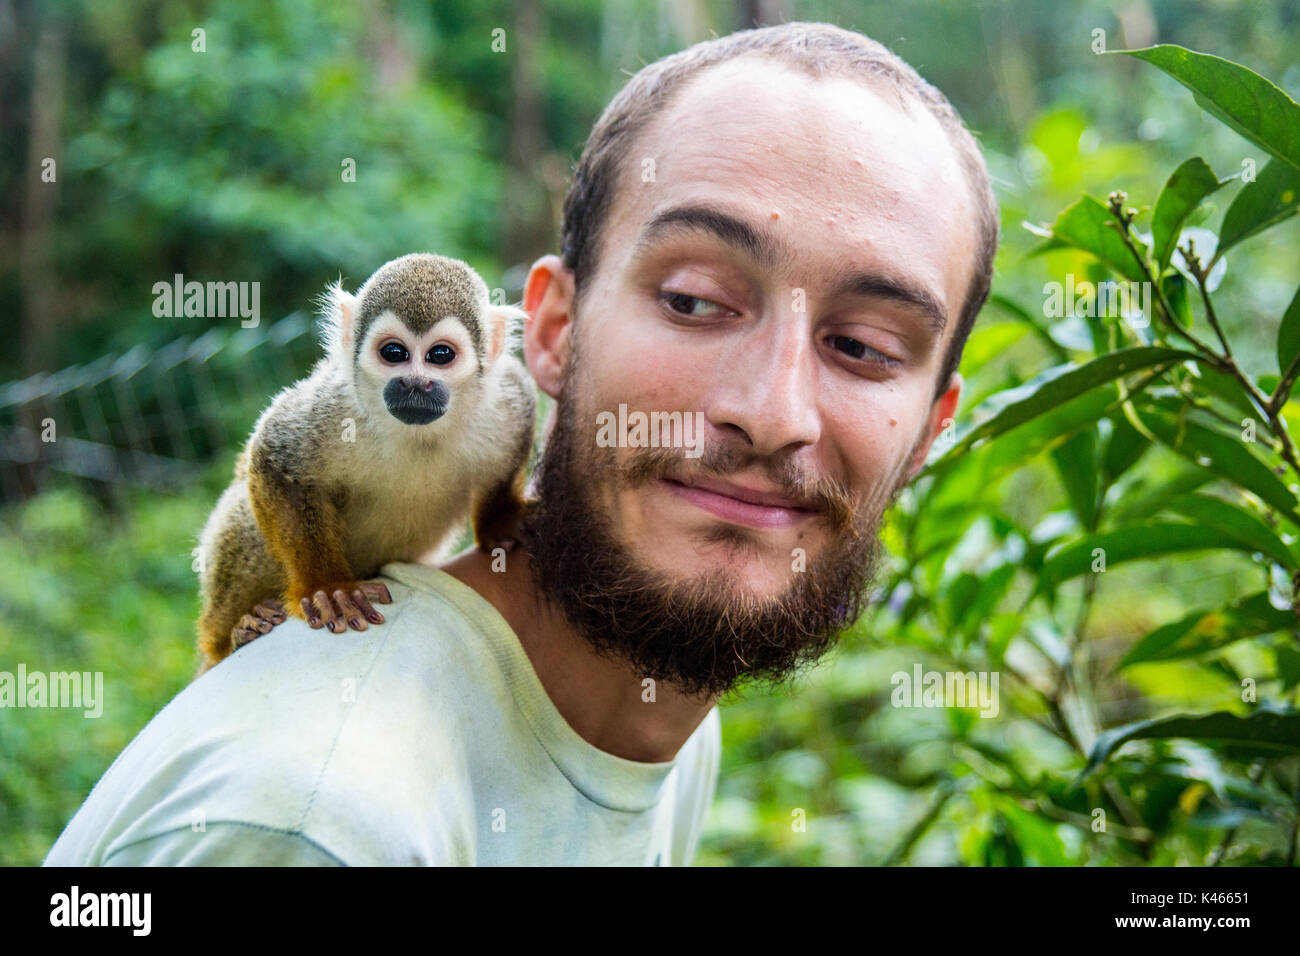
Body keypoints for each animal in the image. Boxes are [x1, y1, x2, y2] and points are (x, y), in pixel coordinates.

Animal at [193, 253, 536, 674]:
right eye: (394, 353)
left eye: (440, 355)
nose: (414, 384)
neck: (417, 434)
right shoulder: (334, 406)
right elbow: (275, 457)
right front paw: (329, 588)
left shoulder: (505, 402)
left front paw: (501, 520)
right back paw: (232, 635)